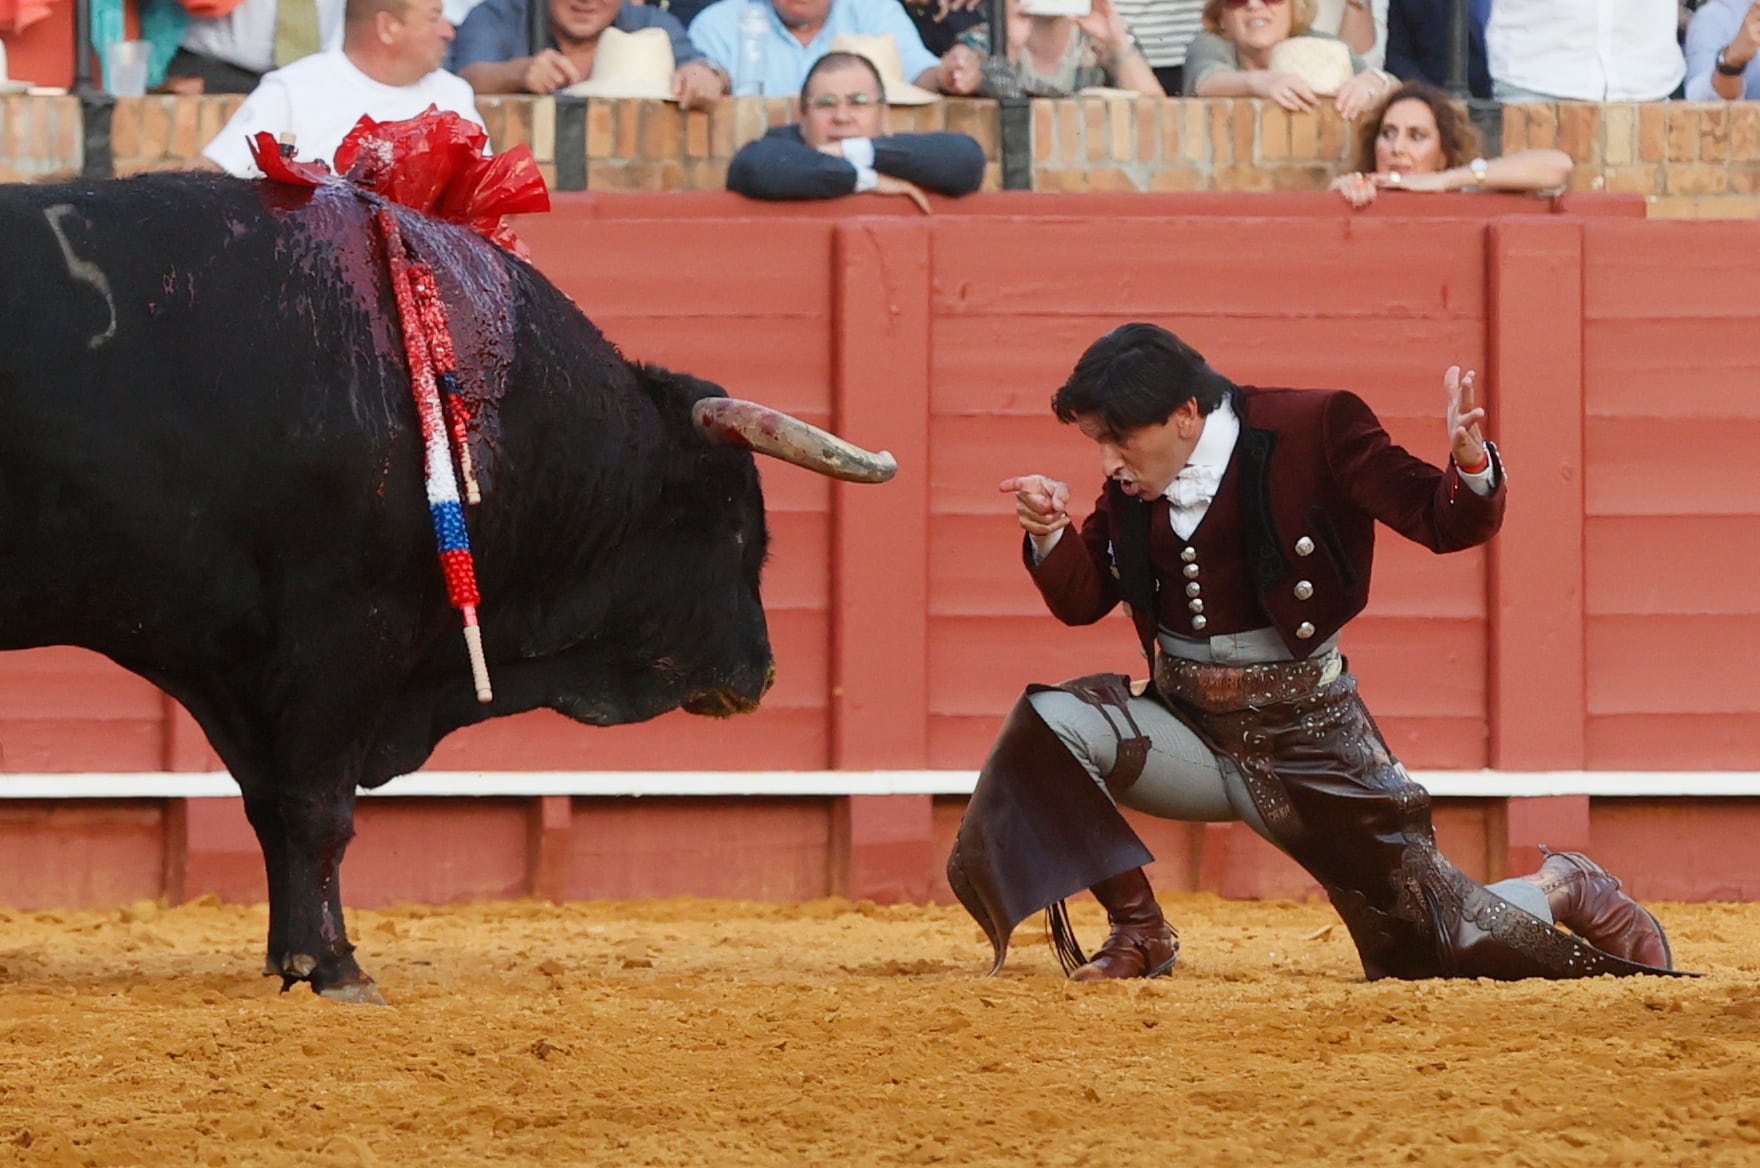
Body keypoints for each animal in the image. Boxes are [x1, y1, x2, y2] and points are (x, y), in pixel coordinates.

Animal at [0, 168, 894, 999]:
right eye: (739, 526)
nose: (762, 671)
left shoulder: (238, 665)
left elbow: (271, 802)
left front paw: (290, 960)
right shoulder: (350, 628)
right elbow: (319, 804)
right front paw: (337, 968)